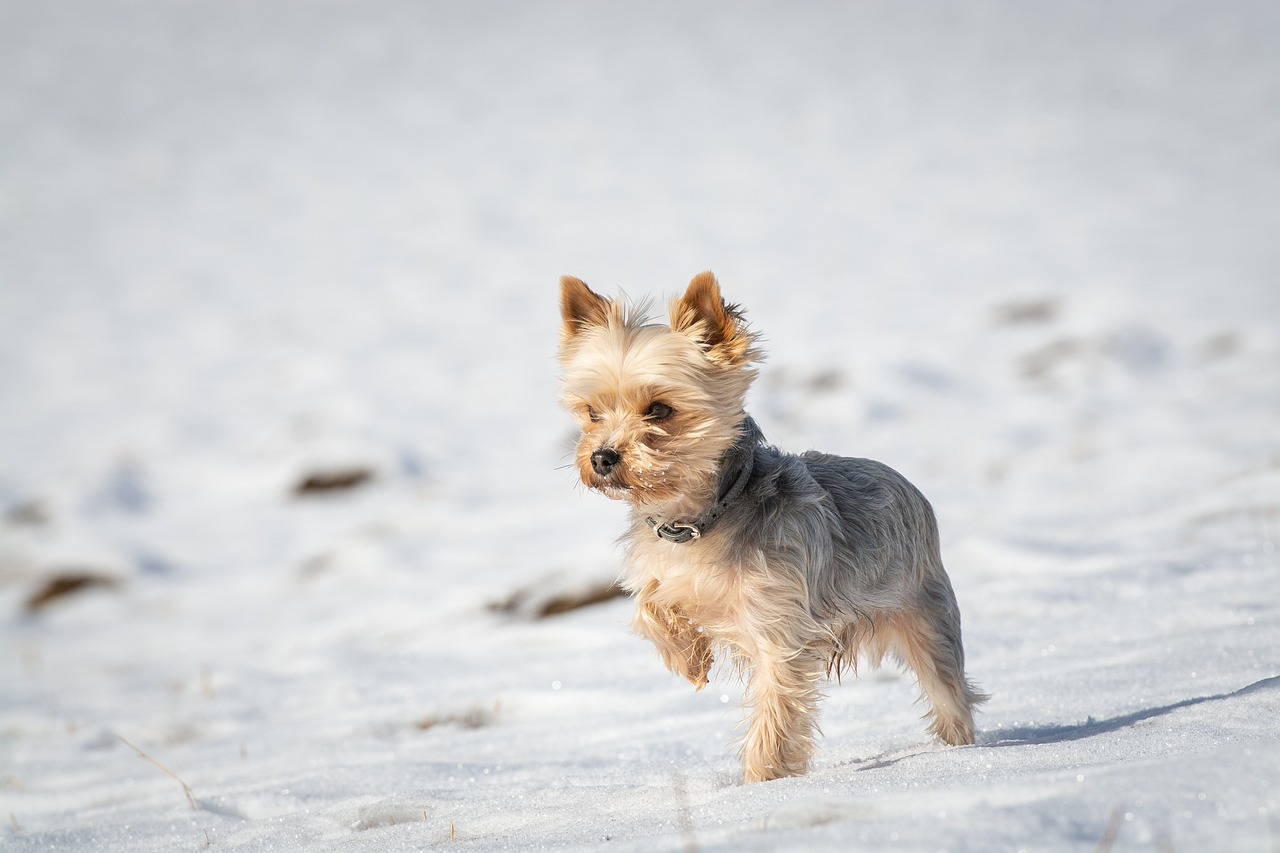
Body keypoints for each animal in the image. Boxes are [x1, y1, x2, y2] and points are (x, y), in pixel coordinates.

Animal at [555, 274, 983, 783]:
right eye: (591, 411)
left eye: (659, 410)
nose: (602, 457)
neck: (700, 520)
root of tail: (908, 485)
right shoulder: (665, 572)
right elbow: (649, 605)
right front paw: (689, 658)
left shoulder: (781, 630)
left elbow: (775, 715)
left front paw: (763, 783)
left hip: (926, 615)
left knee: (949, 690)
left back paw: (959, 751)